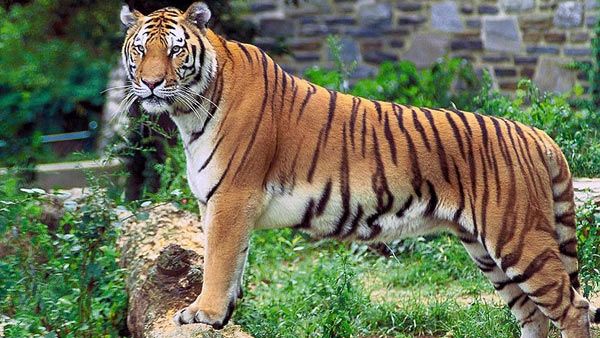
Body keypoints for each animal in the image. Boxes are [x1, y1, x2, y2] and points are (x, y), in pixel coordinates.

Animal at [118, 1, 600, 336]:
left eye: (175, 51)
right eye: (140, 50)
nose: (151, 83)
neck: (190, 111)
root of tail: (536, 134)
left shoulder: (232, 198)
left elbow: (218, 261)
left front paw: (204, 313)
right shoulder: (218, 204)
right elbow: (233, 262)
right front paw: (223, 315)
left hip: (518, 238)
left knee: (574, 308)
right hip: (487, 250)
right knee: (534, 316)